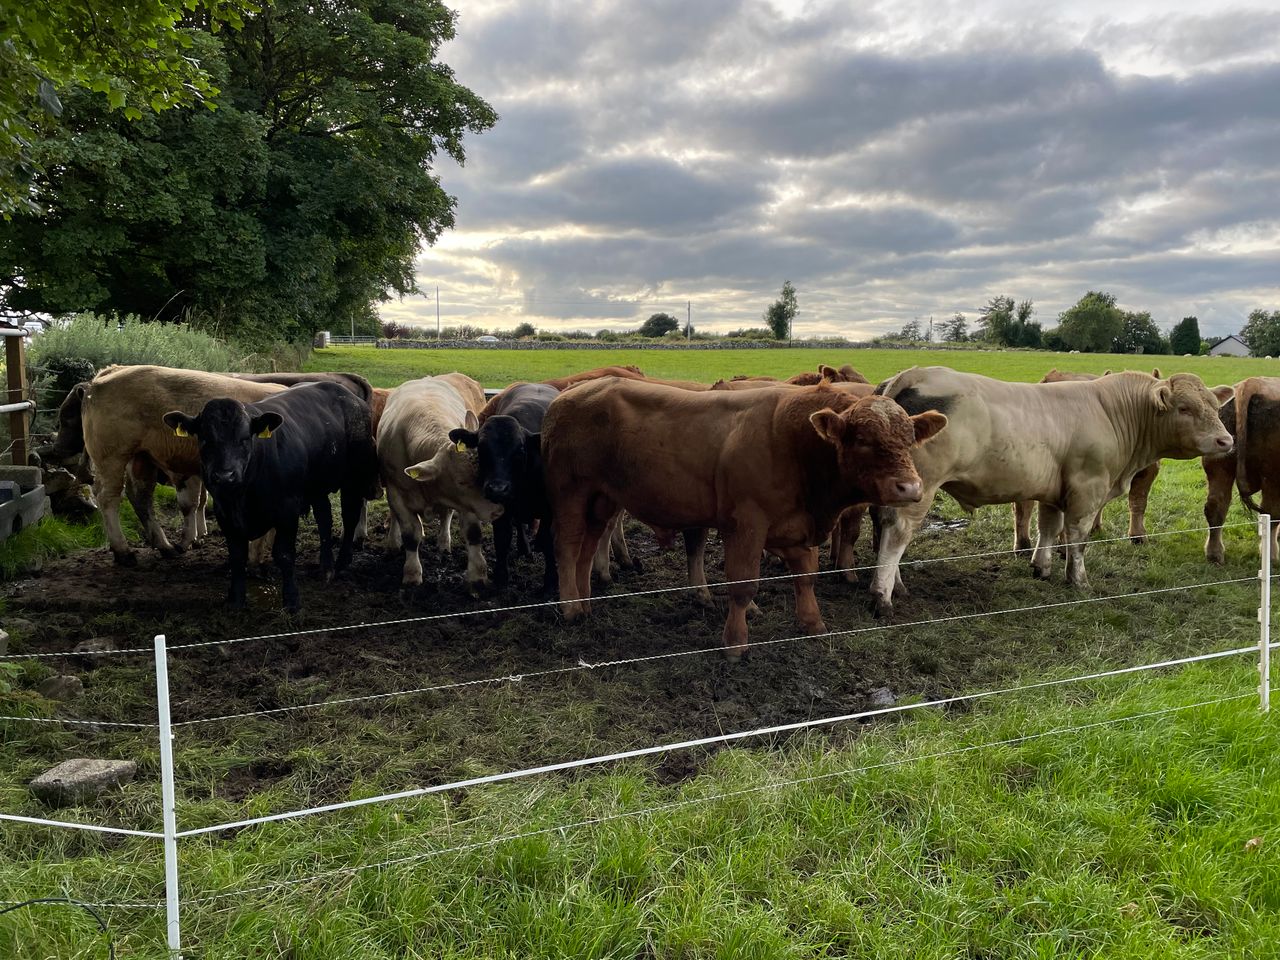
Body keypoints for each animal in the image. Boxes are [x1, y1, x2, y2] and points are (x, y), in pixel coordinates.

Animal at [163, 382, 378, 610]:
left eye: (244, 439)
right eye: (205, 439)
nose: (225, 475)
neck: (241, 497)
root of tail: (348, 395)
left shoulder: (288, 509)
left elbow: (284, 554)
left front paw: (291, 600)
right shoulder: (223, 512)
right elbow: (237, 556)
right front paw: (236, 599)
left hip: (354, 477)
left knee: (350, 516)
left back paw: (343, 562)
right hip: (316, 486)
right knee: (324, 519)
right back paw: (325, 568)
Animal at [376, 373, 501, 592]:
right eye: (461, 482)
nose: (498, 510)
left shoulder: (467, 503)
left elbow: (473, 533)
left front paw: (478, 575)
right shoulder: (396, 493)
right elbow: (411, 535)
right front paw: (412, 573)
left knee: (446, 515)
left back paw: (444, 542)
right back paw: (393, 542)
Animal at [450, 382, 561, 594]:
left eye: (520, 449)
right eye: (481, 448)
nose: (497, 488)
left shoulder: (551, 509)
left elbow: (549, 542)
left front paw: (550, 582)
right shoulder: (501, 509)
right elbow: (502, 539)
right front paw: (501, 578)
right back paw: (524, 548)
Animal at [542, 379, 947, 658]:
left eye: (910, 439)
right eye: (862, 439)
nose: (910, 487)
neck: (792, 443)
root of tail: (568, 394)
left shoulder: (795, 526)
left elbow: (806, 577)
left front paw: (813, 624)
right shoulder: (747, 524)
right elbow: (743, 585)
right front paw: (735, 644)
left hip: (602, 499)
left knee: (587, 547)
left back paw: (585, 603)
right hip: (570, 492)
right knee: (567, 546)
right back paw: (569, 607)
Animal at [1204, 377, 1280, 564]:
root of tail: (1252, 383)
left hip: (1219, 467)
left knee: (1216, 506)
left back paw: (1214, 554)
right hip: (1272, 477)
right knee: (1271, 513)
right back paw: (1272, 556)